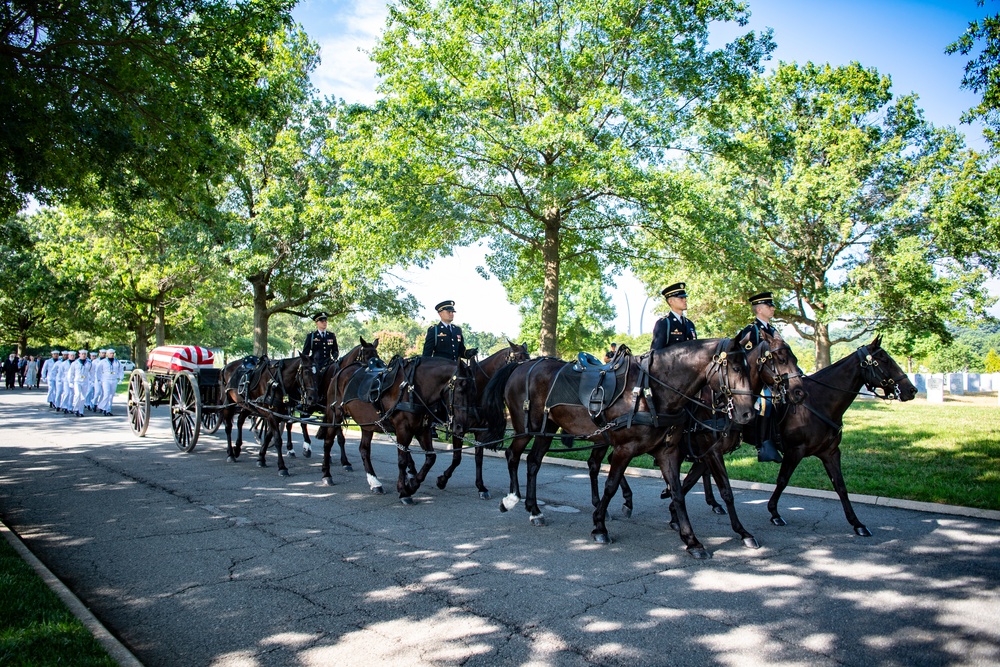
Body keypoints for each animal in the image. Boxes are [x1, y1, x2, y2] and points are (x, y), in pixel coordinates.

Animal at [480, 340, 752, 560]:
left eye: (750, 368)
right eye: (736, 368)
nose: (748, 413)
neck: (651, 391)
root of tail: (522, 366)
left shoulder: (668, 452)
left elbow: (677, 491)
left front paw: (692, 540)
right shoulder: (624, 448)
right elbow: (611, 485)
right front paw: (600, 526)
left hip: (548, 429)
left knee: (534, 462)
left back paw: (534, 509)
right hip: (528, 427)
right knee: (513, 455)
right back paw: (512, 498)